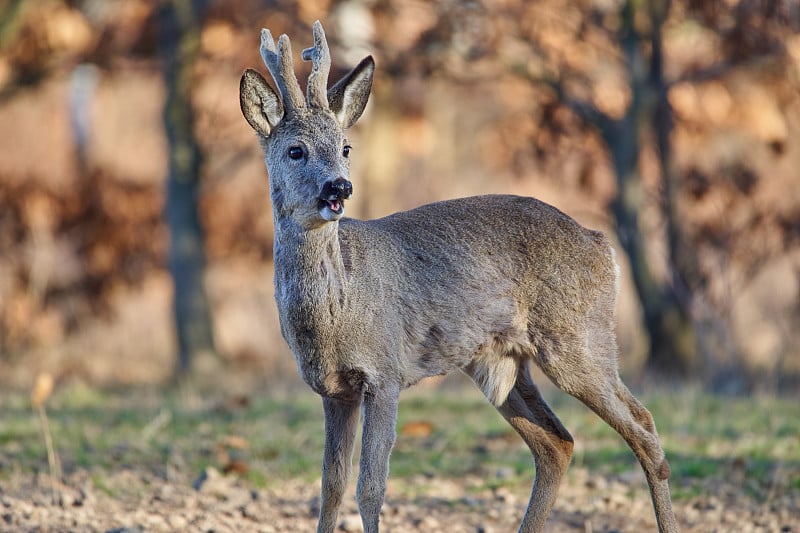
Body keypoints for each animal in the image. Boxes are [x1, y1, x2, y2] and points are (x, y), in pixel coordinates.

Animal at [239, 19, 680, 532]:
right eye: (295, 150)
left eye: (345, 147)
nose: (339, 187)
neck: (337, 311)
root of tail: (602, 244)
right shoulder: (334, 391)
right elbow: (330, 488)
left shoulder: (385, 372)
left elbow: (370, 488)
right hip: (502, 362)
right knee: (558, 443)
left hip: (580, 339)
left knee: (644, 429)